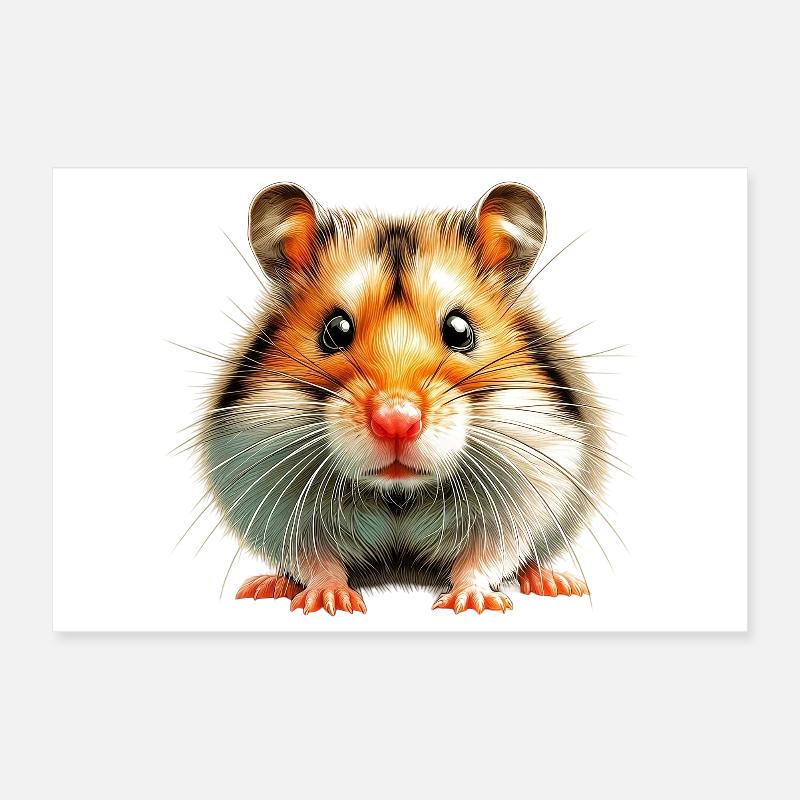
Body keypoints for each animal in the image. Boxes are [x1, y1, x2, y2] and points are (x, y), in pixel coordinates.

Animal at [197, 182, 609, 615]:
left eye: (461, 330)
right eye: (335, 330)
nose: (397, 422)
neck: (399, 493)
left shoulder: (528, 485)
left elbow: (486, 554)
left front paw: (473, 603)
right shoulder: (272, 493)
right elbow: (314, 557)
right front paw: (329, 601)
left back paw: (558, 583)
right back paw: (266, 585)